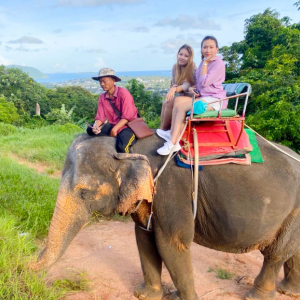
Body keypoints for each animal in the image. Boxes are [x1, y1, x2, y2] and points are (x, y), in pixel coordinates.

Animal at [31, 134, 300, 300]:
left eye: (84, 192)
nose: (28, 262)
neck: (129, 148)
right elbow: (144, 239)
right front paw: (144, 295)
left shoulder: (171, 190)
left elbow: (171, 243)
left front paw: (185, 298)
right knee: (293, 252)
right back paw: (288, 291)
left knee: (276, 254)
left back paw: (258, 295)